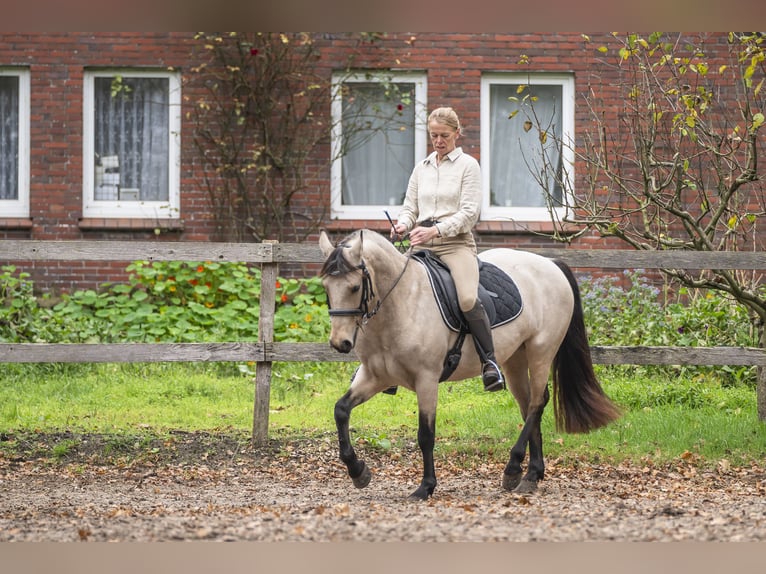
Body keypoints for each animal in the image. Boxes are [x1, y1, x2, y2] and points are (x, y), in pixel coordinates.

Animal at [319, 229, 620, 500]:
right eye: (326, 288)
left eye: (354, 287)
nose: (340, 343)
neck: (402, 302)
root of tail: (550, 264)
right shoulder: (374, 376)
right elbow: (340, 411)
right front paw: (358, 472)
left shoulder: (426, 379)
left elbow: (425, 434)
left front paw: (425, 487)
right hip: (514, 359)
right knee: (528, 406)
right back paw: (531, 475)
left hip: (541, 351)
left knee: (537, 403)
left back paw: (513, 469)